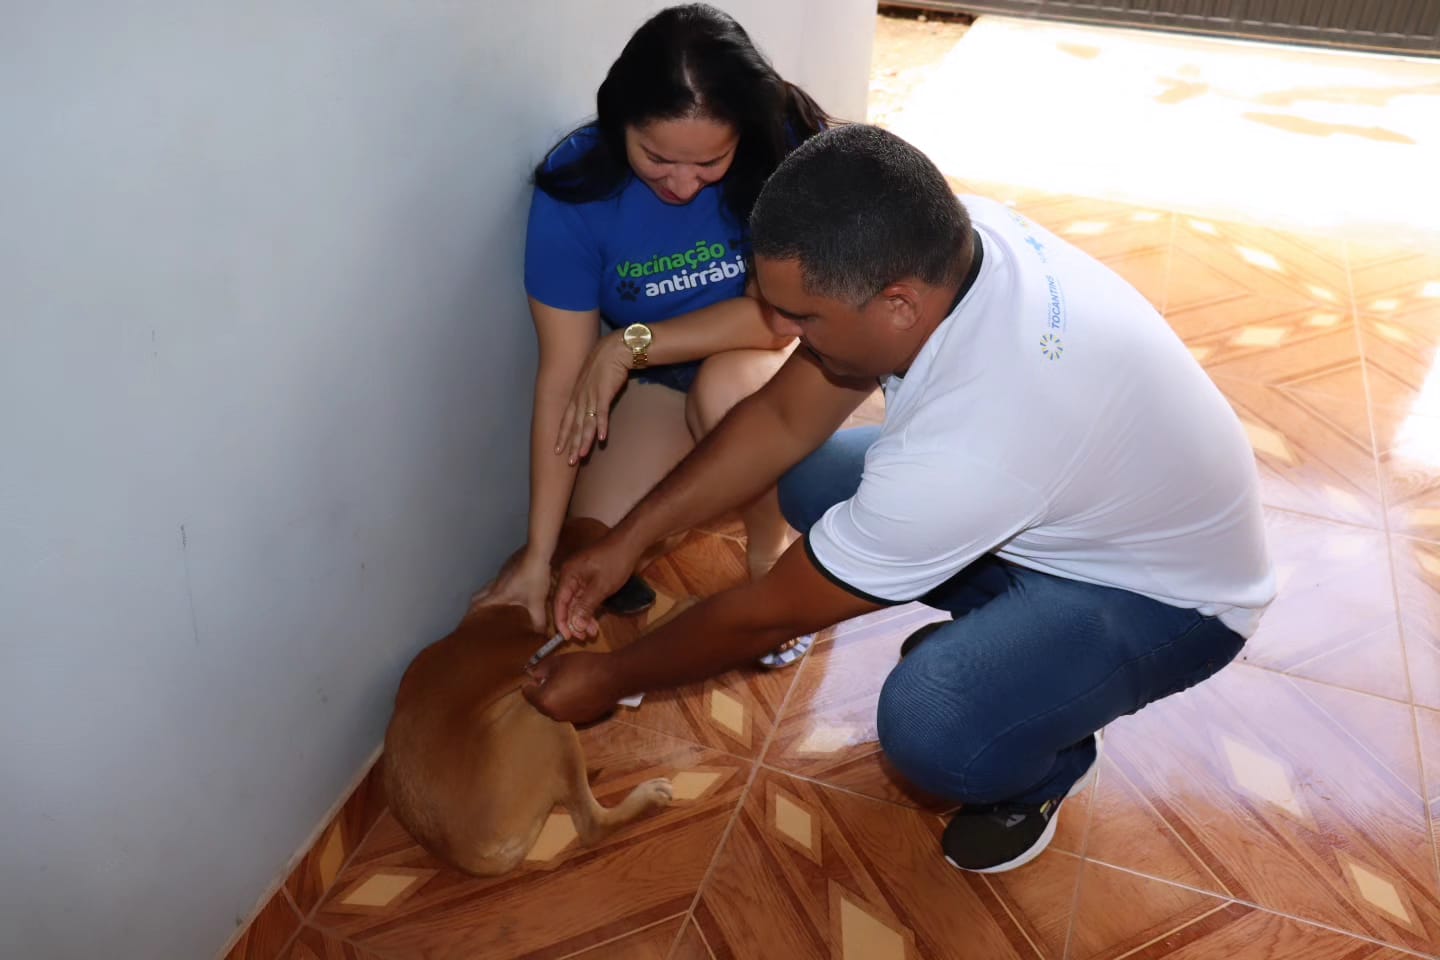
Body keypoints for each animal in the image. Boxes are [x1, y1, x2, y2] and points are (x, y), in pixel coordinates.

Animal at [383, 521, 673, 875]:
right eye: (610, 582)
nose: (651, 596)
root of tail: (472, 856)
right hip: (541, 720)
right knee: (593, 826)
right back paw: (646, 795)